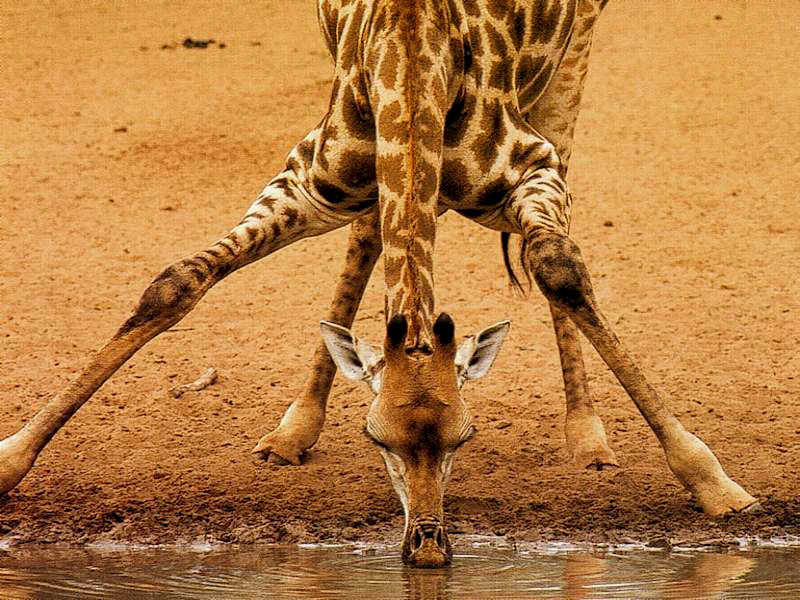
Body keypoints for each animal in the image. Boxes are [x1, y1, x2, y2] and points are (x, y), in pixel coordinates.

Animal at [0, 0, 758, 567]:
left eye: (465, 438)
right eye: (376, 439)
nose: (428, 548)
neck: (413, 58)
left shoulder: (529, 166)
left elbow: (560, 268)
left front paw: (714, 481)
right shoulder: (309, 179)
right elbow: (177, 280)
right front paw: (12, 459)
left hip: (572, 60)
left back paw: (588, 435)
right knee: (371, 234)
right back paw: (293, 429)